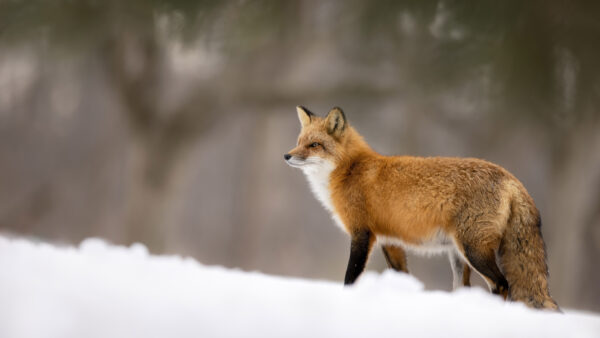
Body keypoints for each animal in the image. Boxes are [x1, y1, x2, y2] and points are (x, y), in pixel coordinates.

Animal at [286, 105, 556, 308]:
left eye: (314, 145)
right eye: (299, 142)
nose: (287, 156)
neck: (350, 170)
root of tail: (511, 178)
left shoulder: (361, 233)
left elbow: (350, 277)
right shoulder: (389, 241)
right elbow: (402, 275)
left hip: (473, 249)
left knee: (501, 283)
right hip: (458, 255)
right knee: (467, 288)